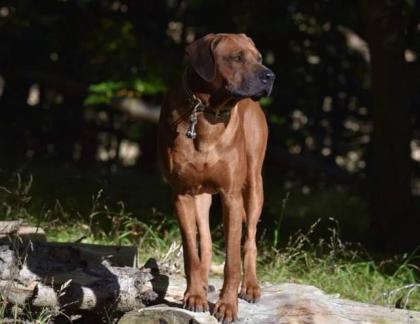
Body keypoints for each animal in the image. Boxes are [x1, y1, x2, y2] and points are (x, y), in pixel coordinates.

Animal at [159, 34, 274, 322]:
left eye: (259, 57)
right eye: (236, 57)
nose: (269, 75)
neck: (207, 113)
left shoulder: (231, 196)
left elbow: (232, 260)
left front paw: (227, 306)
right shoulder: (181, 194)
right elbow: (191, 252)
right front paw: (195, 296)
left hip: (254, 185)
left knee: (250, 239)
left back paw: (251, 286)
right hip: (200, 196)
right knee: (206, 242)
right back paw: (201, 285)